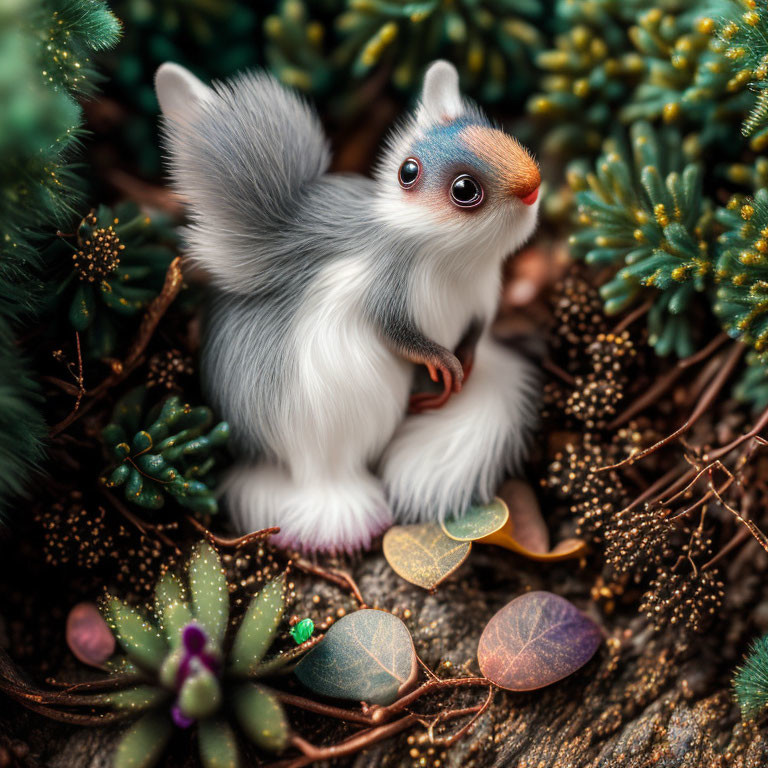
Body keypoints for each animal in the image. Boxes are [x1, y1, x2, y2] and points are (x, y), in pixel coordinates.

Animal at [154, 58, 540, 552]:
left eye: (502, 133)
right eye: (464, 189)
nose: (533, 186)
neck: (455, 257)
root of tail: (298, 472)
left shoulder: (484, 297)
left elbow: (476, 330)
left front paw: (465, 360)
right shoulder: (386, 290)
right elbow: (398, 334)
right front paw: (442, 360)